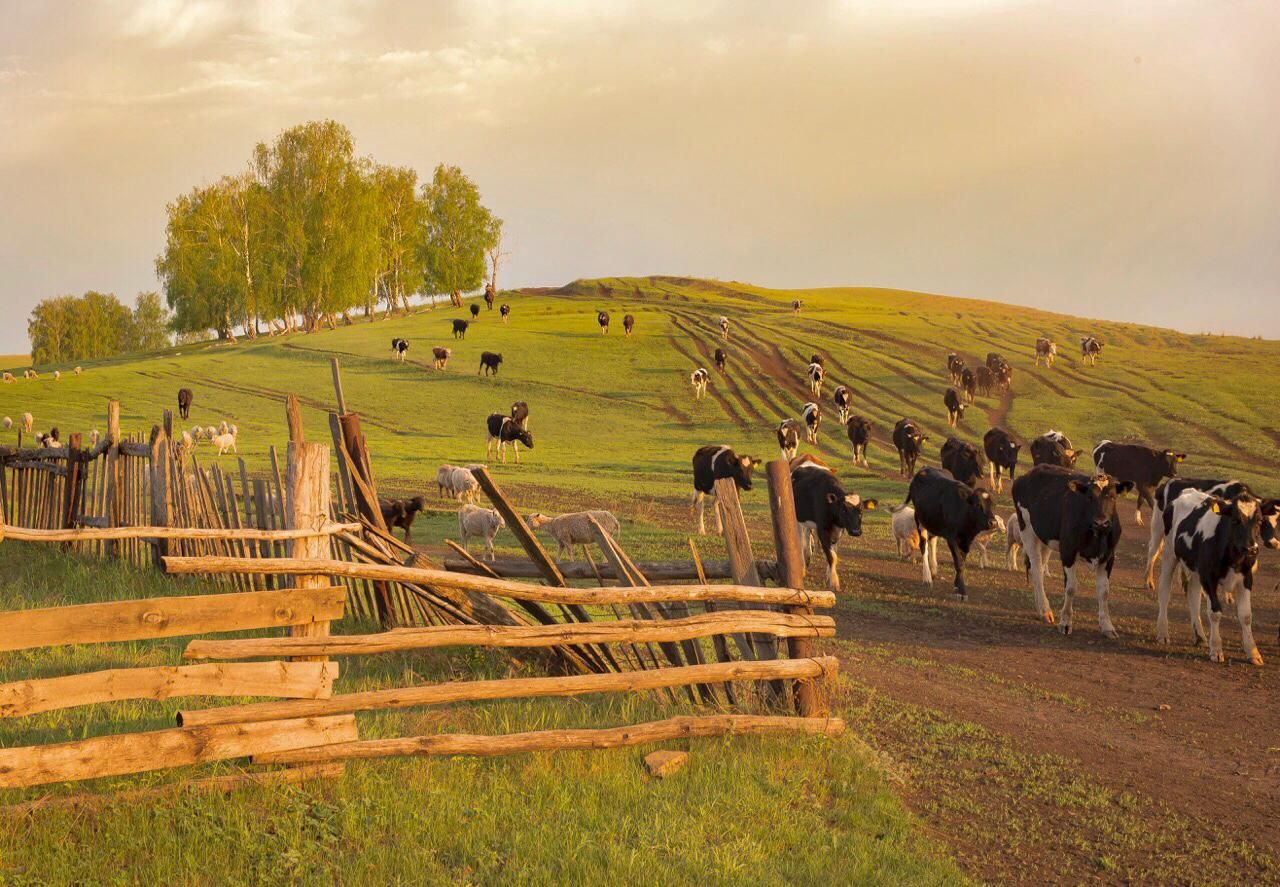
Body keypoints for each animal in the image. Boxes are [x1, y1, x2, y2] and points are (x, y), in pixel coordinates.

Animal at [788, 460, 880, 591]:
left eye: (861, 510)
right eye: (843, 510)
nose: (856, 531)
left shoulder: (838, 531)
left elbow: (833, 553)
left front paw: (829, 575)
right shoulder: (822, 529)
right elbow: (831, 556)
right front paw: (834, 582)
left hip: (808, 523)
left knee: (807, 540)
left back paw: (807, 560)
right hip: (798, 519)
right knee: (801, 542)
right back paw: (802, 568)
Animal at [901, 465, 998, 599]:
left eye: (992, 505)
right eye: (978, 504)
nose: (993, 522)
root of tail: (925, 468)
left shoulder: (967, 540)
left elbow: (962, 561)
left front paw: (957, 585)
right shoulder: (952, 538)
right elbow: (958, 562)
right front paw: (961, 590)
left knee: (932, 541)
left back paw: (933, 569)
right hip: (920, 521)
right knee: (924, 546)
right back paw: (927, 576)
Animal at [1008, 465, 1131, 632]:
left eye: (1112, 497)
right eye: (1089, 497)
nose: (1101, 522)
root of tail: (1028, 474)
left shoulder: (1108, 556)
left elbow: (1104, 591)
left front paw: (1107, 625)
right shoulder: (1068, 551)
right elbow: (1071, 587)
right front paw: (1066, 622)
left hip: (1045, 539)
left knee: (1039, 568)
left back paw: (1041, 609)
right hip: (1026, 530)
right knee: (1037, 570)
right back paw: (1045, 610)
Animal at [1152, 488, 1280, 660]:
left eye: (1259, 521)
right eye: (1235, 520)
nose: (1251, 548)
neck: (1233, 557)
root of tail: (1188, 491)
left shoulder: (1246, 578)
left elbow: (1246, 615)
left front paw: (1253, 652)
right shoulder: (1209, 577)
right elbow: (1215, 612)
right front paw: (1216, 649)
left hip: (1196, 568)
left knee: (1193, 595)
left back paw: (1200, 636)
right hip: (1169, 553)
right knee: (1165, 591)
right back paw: (1163, 632)